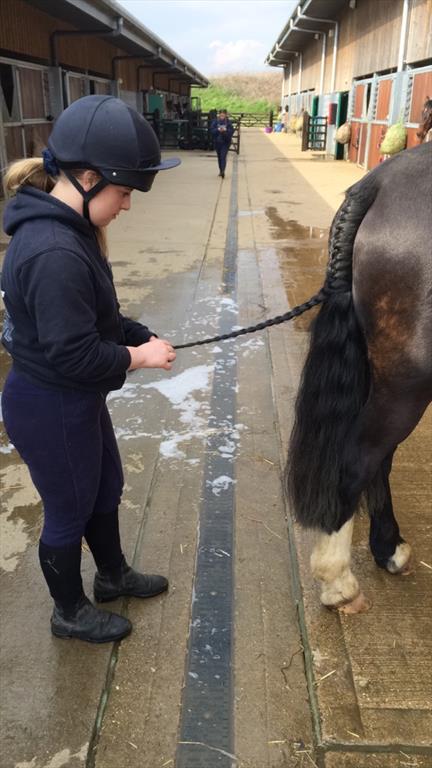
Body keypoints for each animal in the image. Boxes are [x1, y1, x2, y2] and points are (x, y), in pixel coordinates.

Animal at [286, 141, 432, 613]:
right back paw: (339, 581)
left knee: (379, 457)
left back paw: (388, 548)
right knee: (361, 458)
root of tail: (379, 183)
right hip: (406, 383)